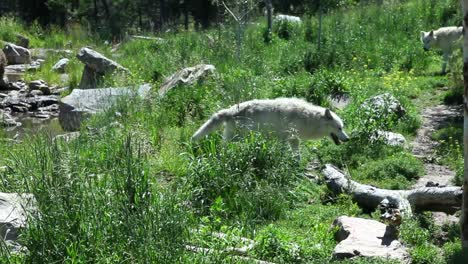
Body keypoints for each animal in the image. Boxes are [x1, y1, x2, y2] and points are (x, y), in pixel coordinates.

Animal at [192, 97, 350, 153]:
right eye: (339, 128)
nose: (348, 139)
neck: (308, 118)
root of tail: (230, 110)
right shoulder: (286, 138)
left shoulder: (293, 140)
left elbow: (296, 156)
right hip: (238, 138)